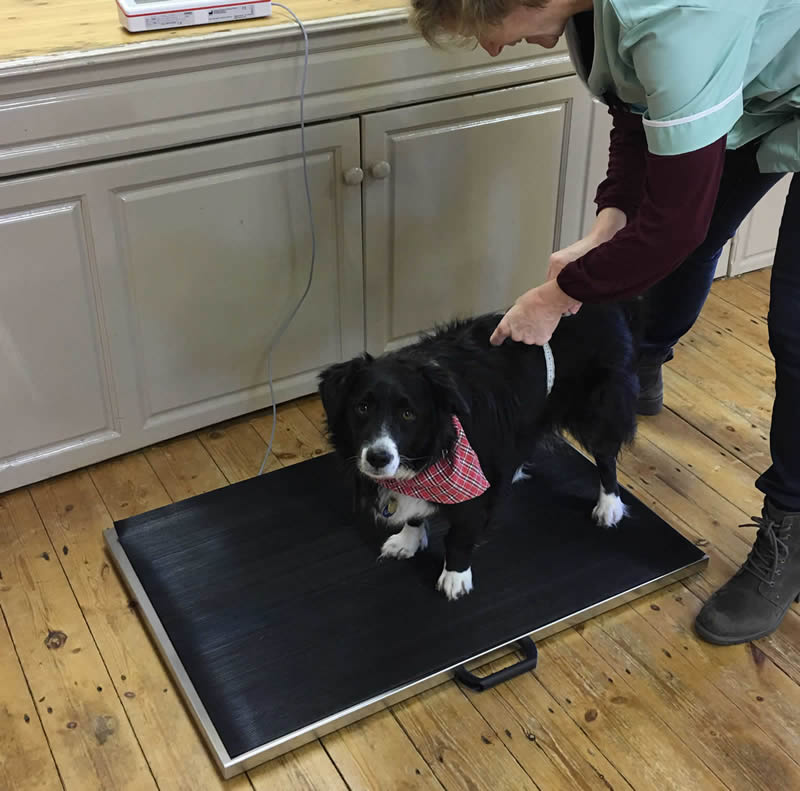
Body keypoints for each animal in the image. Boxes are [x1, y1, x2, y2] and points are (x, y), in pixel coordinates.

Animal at [316, 304, 640, 600]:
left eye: (408, 414)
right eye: (362, 407)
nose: (378, 458)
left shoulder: (474, 481)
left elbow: (460, 535)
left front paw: (455, 577)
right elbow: (415, 511)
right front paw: (408, 540)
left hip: (599, 408)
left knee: (606, 458)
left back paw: (609, 506)